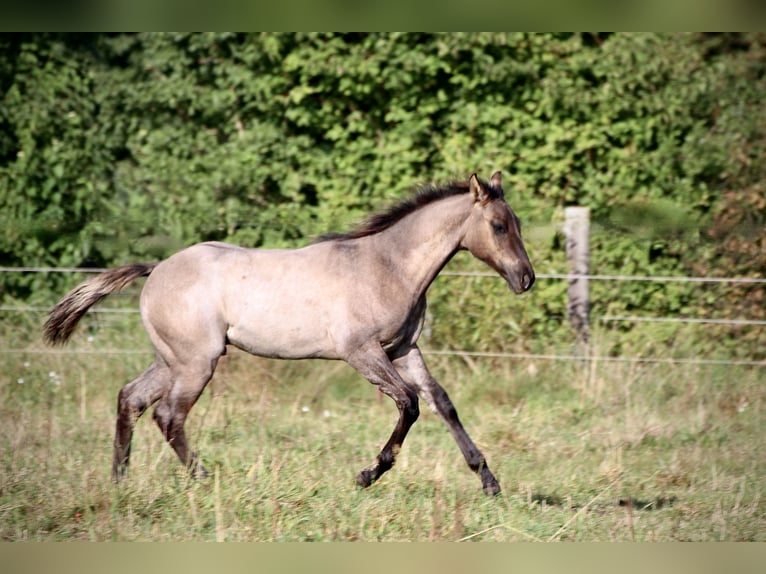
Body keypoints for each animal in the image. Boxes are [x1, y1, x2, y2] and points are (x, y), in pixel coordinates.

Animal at [42, 171, 536, 496]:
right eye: (498, 226)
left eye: (517, 223)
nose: (526, 279)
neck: (387, 266)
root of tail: (156, 269)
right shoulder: (362, 352)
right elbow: (409, 405)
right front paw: (367, 474)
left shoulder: (403, 350)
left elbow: (443, 404)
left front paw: (489, 481)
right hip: (196, 362)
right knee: (168, 415)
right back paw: (204, 480)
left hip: (172, 360)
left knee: (131, 398)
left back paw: (119, 481)